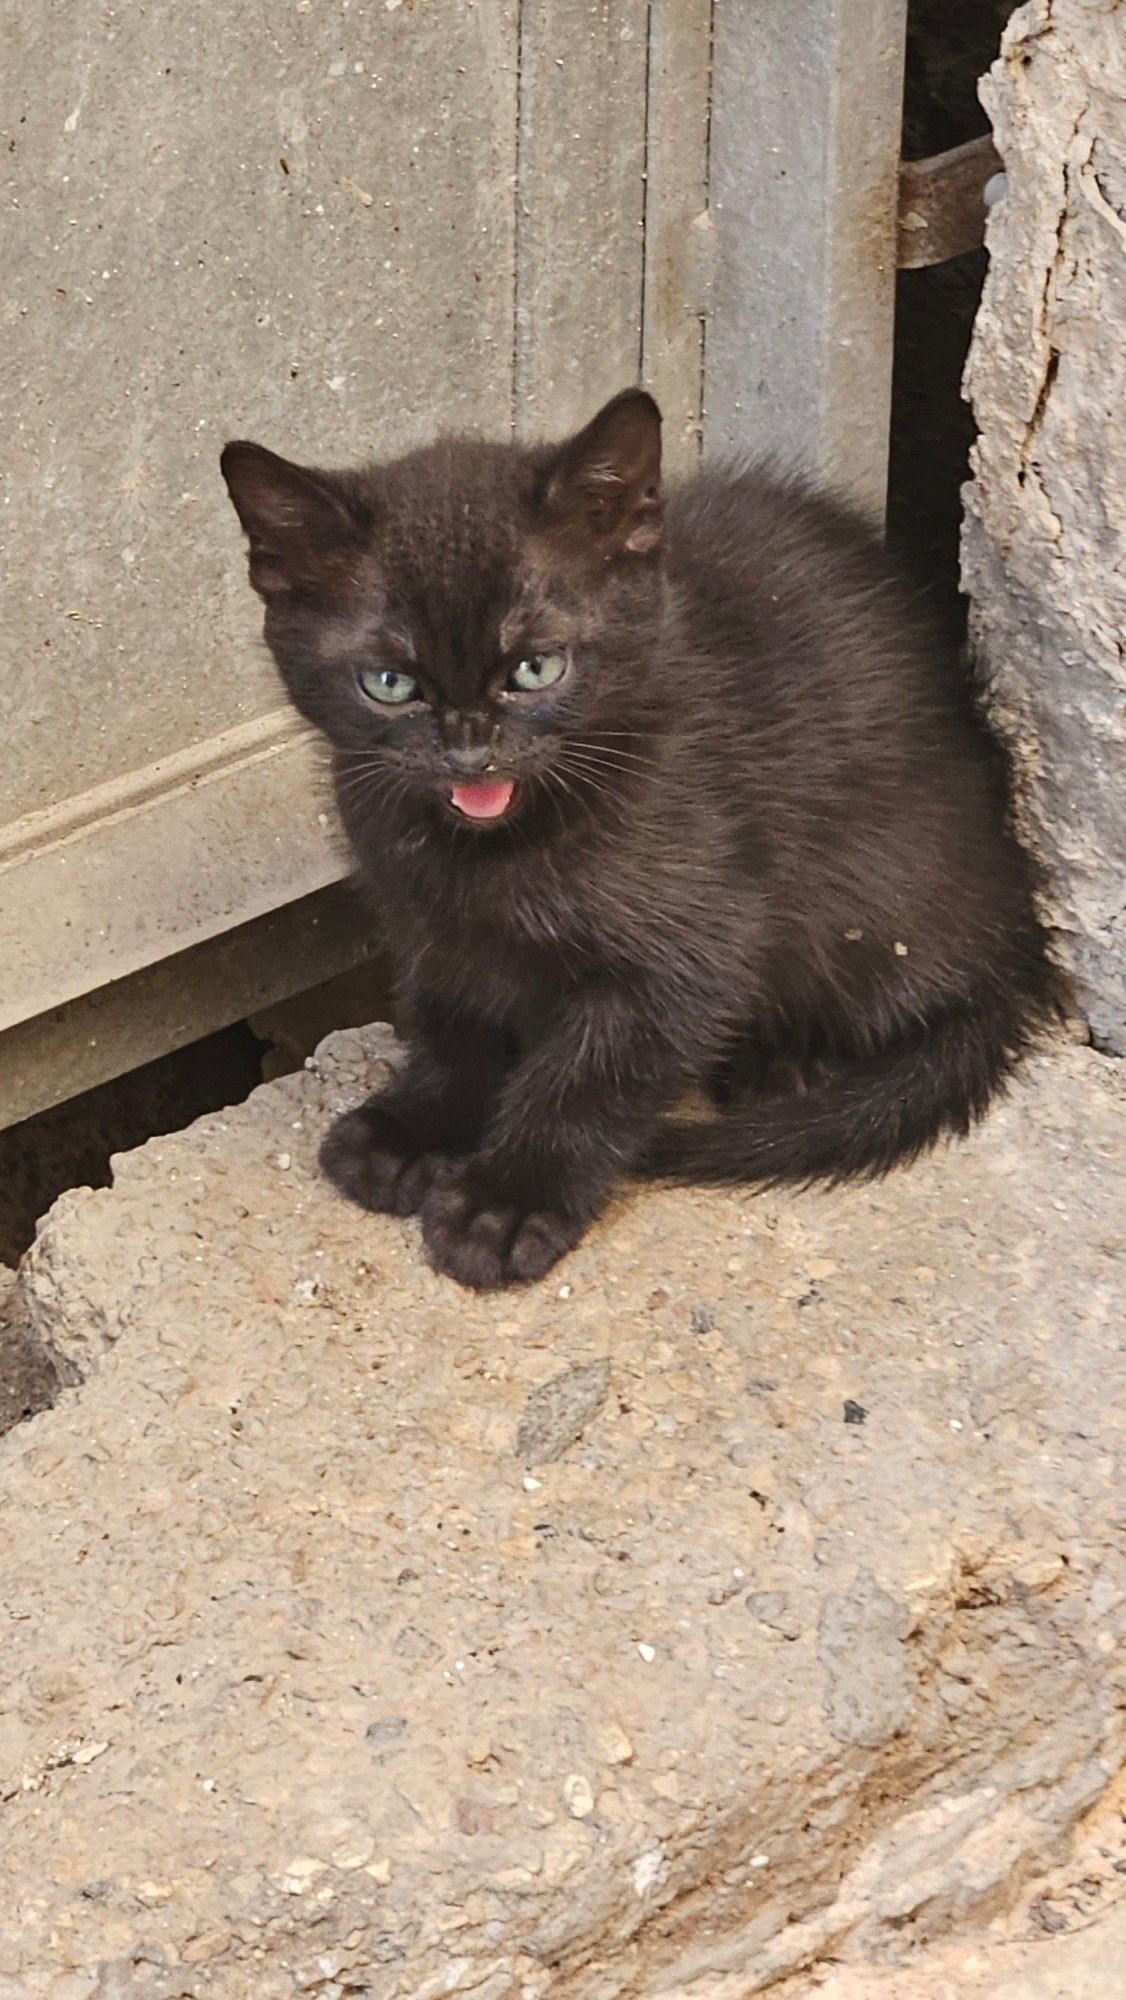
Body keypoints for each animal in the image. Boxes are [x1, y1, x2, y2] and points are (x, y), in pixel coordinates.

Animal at [223, 390, 1056, 1288]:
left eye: (537, 669)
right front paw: (417, 1127)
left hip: (881, 887)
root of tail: (1016, 933)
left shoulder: (690, 945)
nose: (470, 751)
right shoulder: (429, 924)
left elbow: (588, 1077)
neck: (489, 856)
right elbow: (451, 1019)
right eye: (389, 684)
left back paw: (788, 1063)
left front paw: (507, 1199)